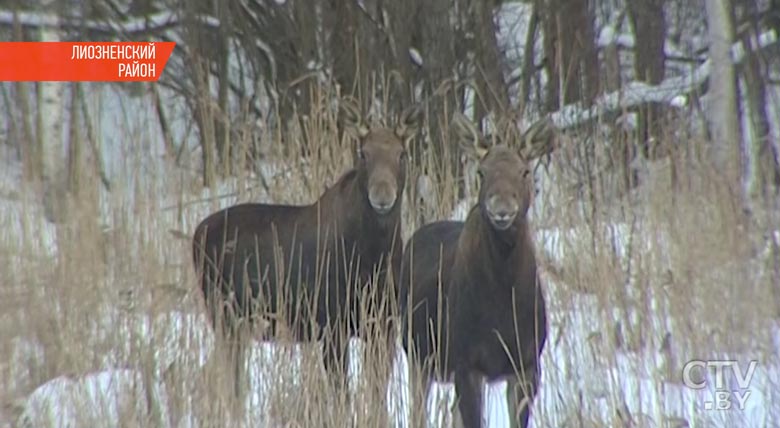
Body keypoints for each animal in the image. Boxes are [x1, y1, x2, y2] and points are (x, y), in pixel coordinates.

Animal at [193, 98, 424, 402]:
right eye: (363, 153)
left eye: (402, 154)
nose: (382, 196)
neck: (374, 256)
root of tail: (196, 235)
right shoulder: (330, 324)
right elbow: (342, 394)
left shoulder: (383, 324)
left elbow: (376, 394)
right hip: (225, 316)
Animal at [402, 113, 556, 428]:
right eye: (482, 172)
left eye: (524, 171)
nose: (502, 207)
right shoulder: (466, 362)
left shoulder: (527, 365)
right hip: (417, 355)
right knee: (417, 413)